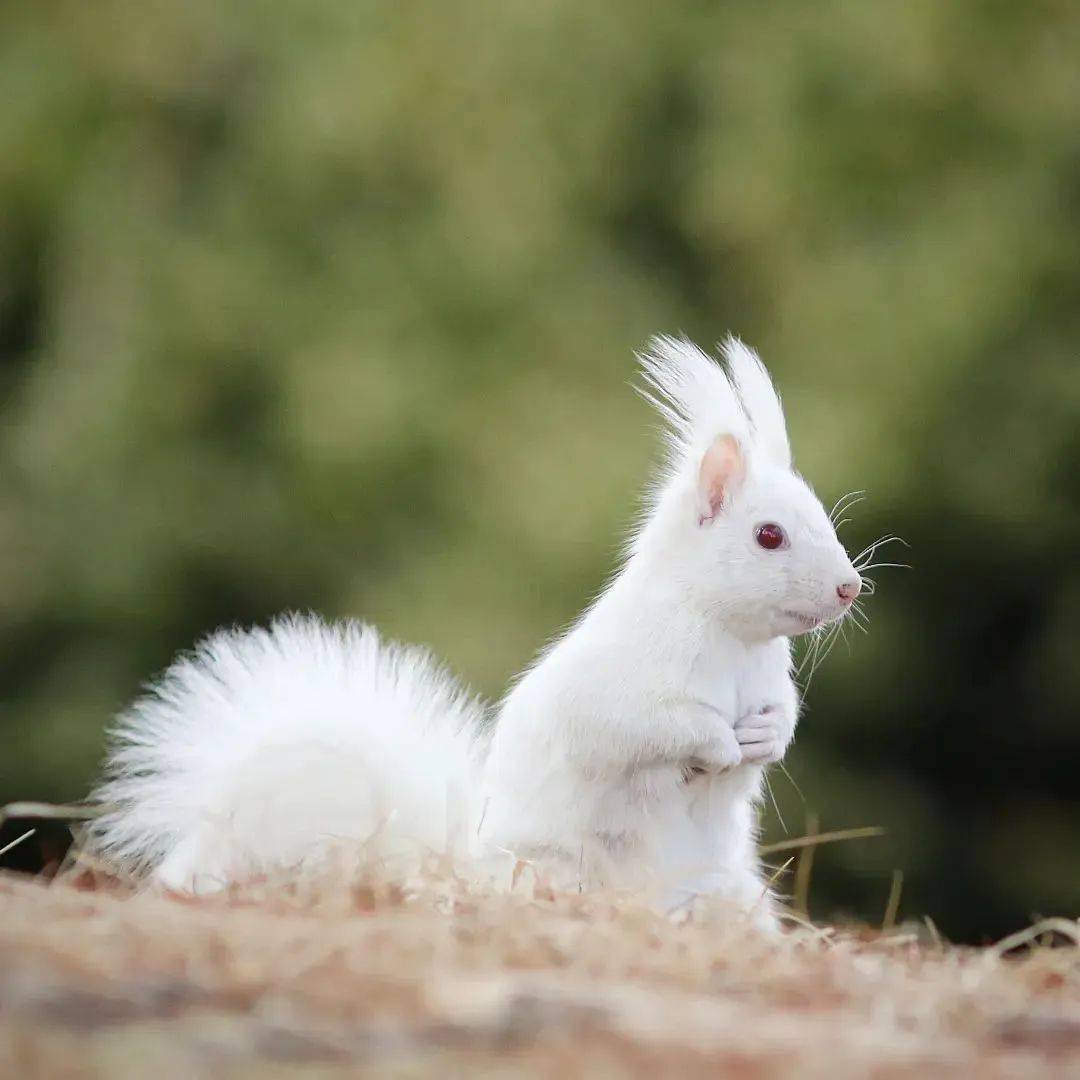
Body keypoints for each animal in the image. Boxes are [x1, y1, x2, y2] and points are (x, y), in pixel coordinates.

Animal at [88, 332, 859, 924]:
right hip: (556, 870)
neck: (733, 640)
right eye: (768, 535)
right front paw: (717, 744)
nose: (850, 588)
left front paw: (765, 736)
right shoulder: (618, 688)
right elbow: (645, 726)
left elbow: (782, 713)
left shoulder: (768, 677)